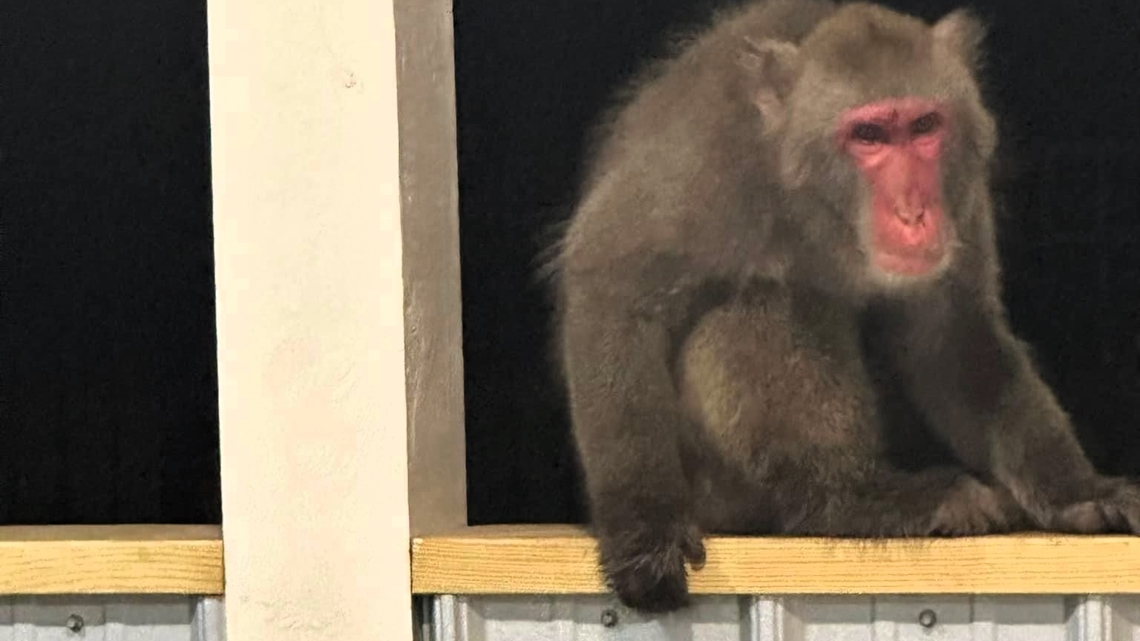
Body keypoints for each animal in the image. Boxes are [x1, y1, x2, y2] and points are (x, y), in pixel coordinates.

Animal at [545, 0, 1140, 614]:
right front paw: (643, 528)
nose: (913, 213)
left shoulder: (961, 193)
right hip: (714, 486)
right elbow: (611, 287)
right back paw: (850, 497)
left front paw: (1076, 490)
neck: (823, 213)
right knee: (766, 300)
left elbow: (955, 336)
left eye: (924, 127)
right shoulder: (702, 161)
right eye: (869, 134)